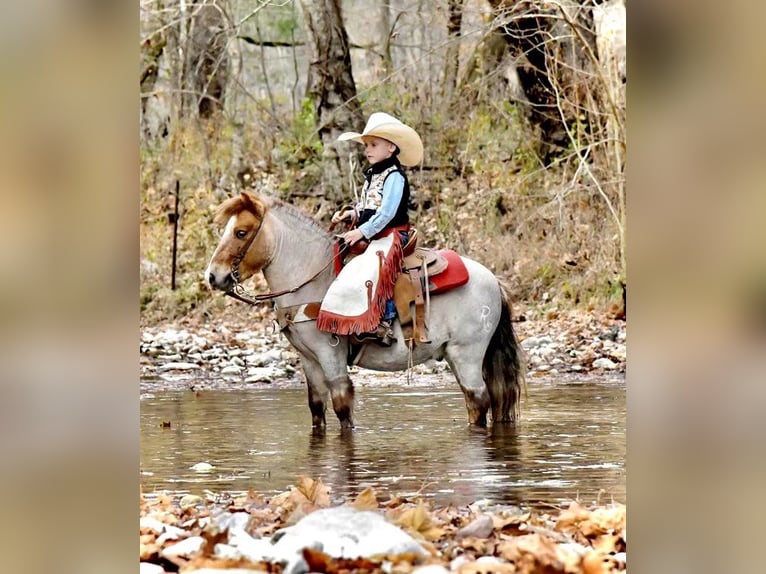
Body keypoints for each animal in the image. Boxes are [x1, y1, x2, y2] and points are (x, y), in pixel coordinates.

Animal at [207, 191, 524, 430]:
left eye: (241, 232)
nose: (212, 276)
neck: (312, 278)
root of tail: (493, 280)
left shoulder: (330, 355)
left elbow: (342, 407)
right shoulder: (308, 359)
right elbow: (316, 407)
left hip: (466, 353)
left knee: (478, 400)